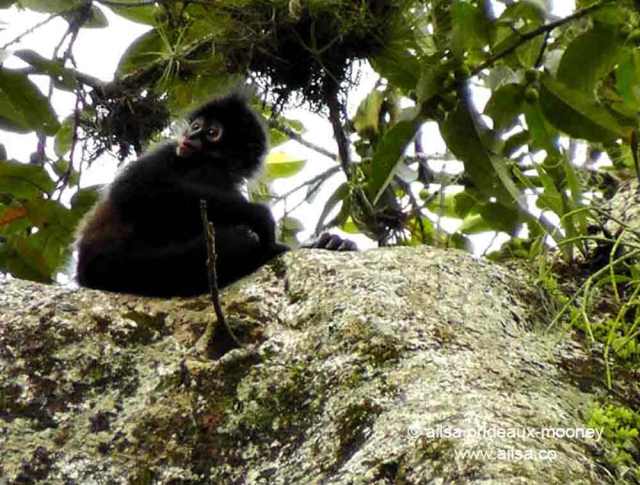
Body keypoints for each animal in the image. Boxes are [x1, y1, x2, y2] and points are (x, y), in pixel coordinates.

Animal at [75, 93, 354, 297]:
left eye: (212, 133)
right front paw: (262, 218)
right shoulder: (169, 151)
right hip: (121, 264)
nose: (191, 135)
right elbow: (134, 188)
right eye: (197, 126)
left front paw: (327, 243)